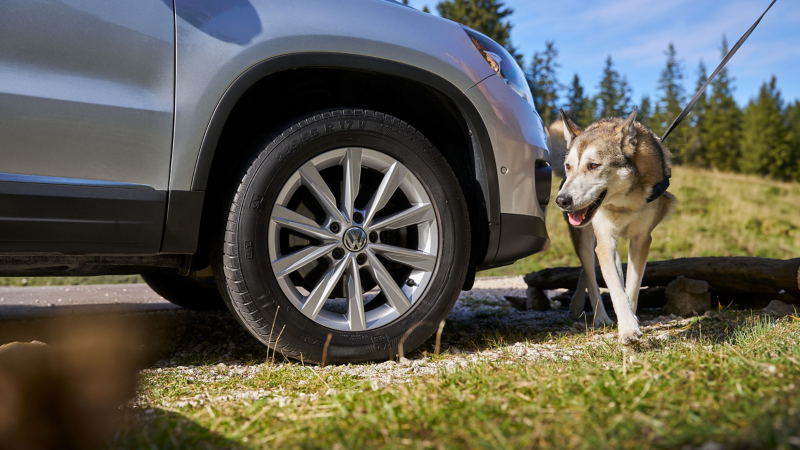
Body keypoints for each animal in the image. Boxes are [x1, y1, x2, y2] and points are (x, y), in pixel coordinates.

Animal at [548, 106, 672, 344]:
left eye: (594, 165)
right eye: (568, 166)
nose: (562, 201)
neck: (624, 202)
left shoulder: (642, 240)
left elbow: (631, 286)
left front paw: (631, 321)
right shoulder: (606, 241)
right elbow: (613, 286)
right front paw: (627, 328)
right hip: (586, 238)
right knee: (590, 271)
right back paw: (599, 317)